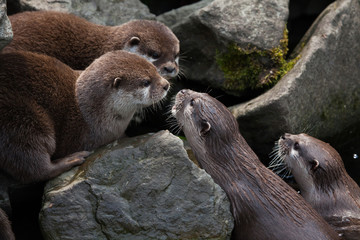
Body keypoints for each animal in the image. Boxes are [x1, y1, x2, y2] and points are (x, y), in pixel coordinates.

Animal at [0, 49, 170, 183]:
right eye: (146, 82)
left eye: (155, 69)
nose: (166, 85)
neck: (90, 112)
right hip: (22, 120)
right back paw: (71, 159)